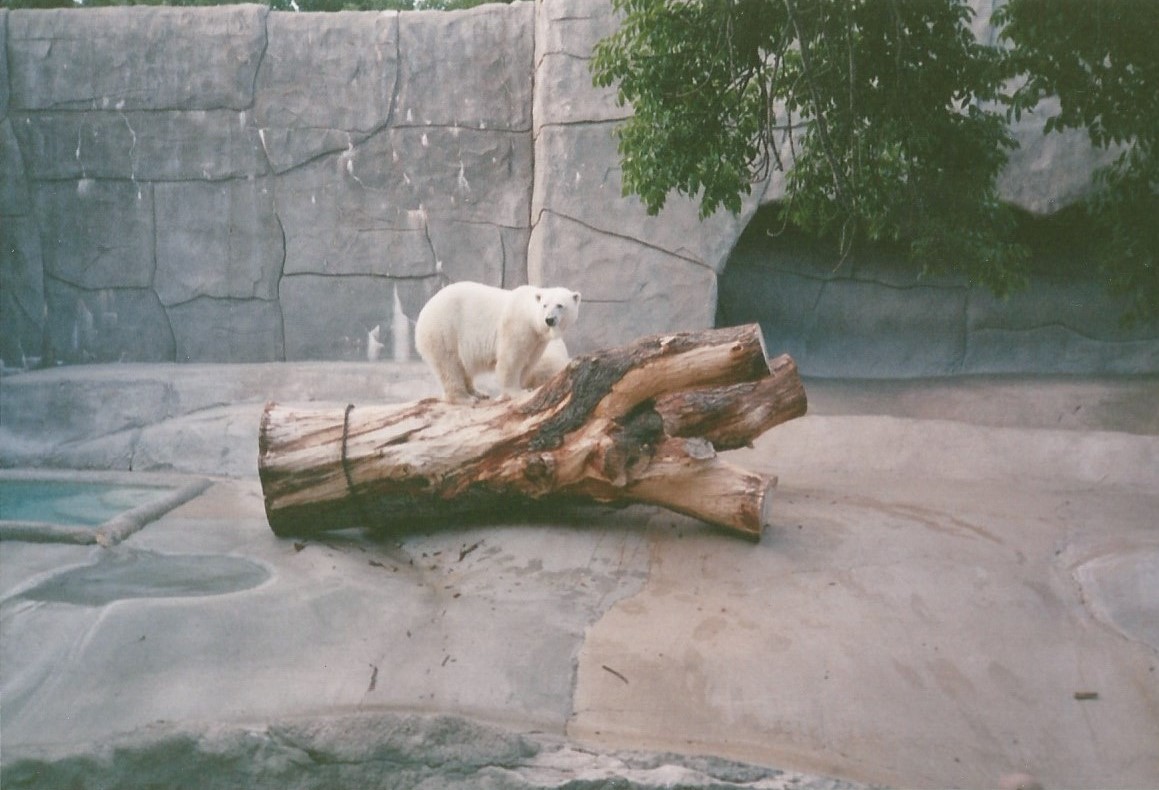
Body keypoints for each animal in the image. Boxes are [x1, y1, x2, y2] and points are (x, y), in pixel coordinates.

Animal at [414, 281, 581, 403]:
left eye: (560, 305)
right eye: (545, 305)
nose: (549, 320)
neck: (529, 315)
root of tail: (423, 312)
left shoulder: (537, 341)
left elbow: (528, 363)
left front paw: (514, 391)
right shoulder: (516, 326)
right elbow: (511, 360)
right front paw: (519, 392)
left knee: (462, 367)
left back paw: (478, 392)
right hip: (443, 330)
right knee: (449, 365)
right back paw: (466, 398)